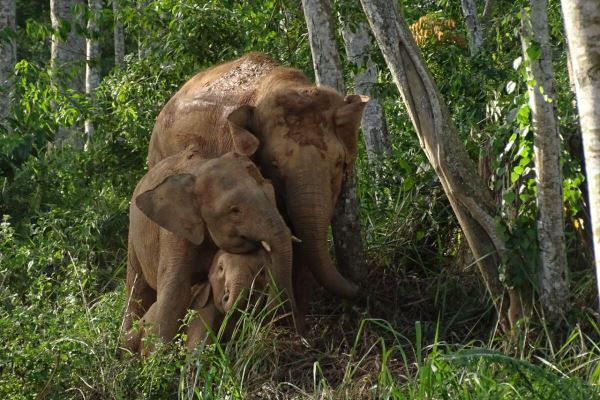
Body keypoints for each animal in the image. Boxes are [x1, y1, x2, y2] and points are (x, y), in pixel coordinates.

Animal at [125, 144, 294, 354]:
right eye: (235, 210)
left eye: (272, 195)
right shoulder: (174, 232)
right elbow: (175, 289)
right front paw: (159, 359)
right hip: (133, 235)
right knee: (136, 289)